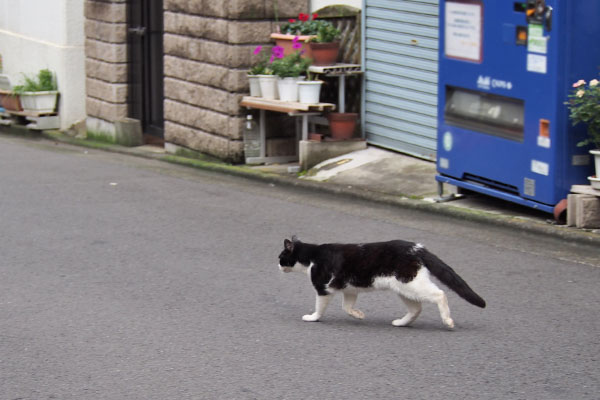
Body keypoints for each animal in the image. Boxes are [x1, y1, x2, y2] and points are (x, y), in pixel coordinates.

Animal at [278, 238, 486, 328]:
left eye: (280, 257)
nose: (277, 265)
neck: (312, 257)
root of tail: (417, 247)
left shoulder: (323, 289)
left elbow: (319, 307)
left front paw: (313, 317)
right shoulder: (349, 289)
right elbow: (347, 306)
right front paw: (358, 315)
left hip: (411, 283)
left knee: (439, 295)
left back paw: (447, 320)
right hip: (404, 289)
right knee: (416, 309)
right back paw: (401, 323)